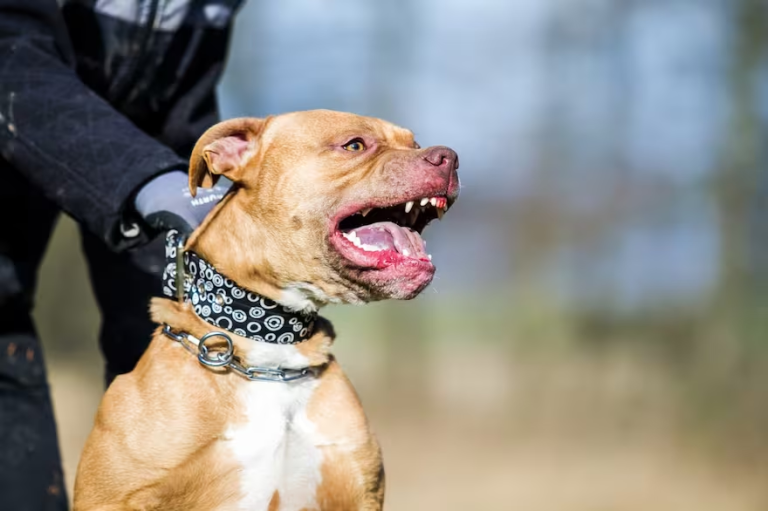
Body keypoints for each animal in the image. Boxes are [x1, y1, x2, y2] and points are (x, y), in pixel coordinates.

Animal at [72, 110, 460, 510]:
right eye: (354, 145)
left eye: (414, 144)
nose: (448, 157)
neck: (272, 349)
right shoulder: (113, 498)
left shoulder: (358, 491)